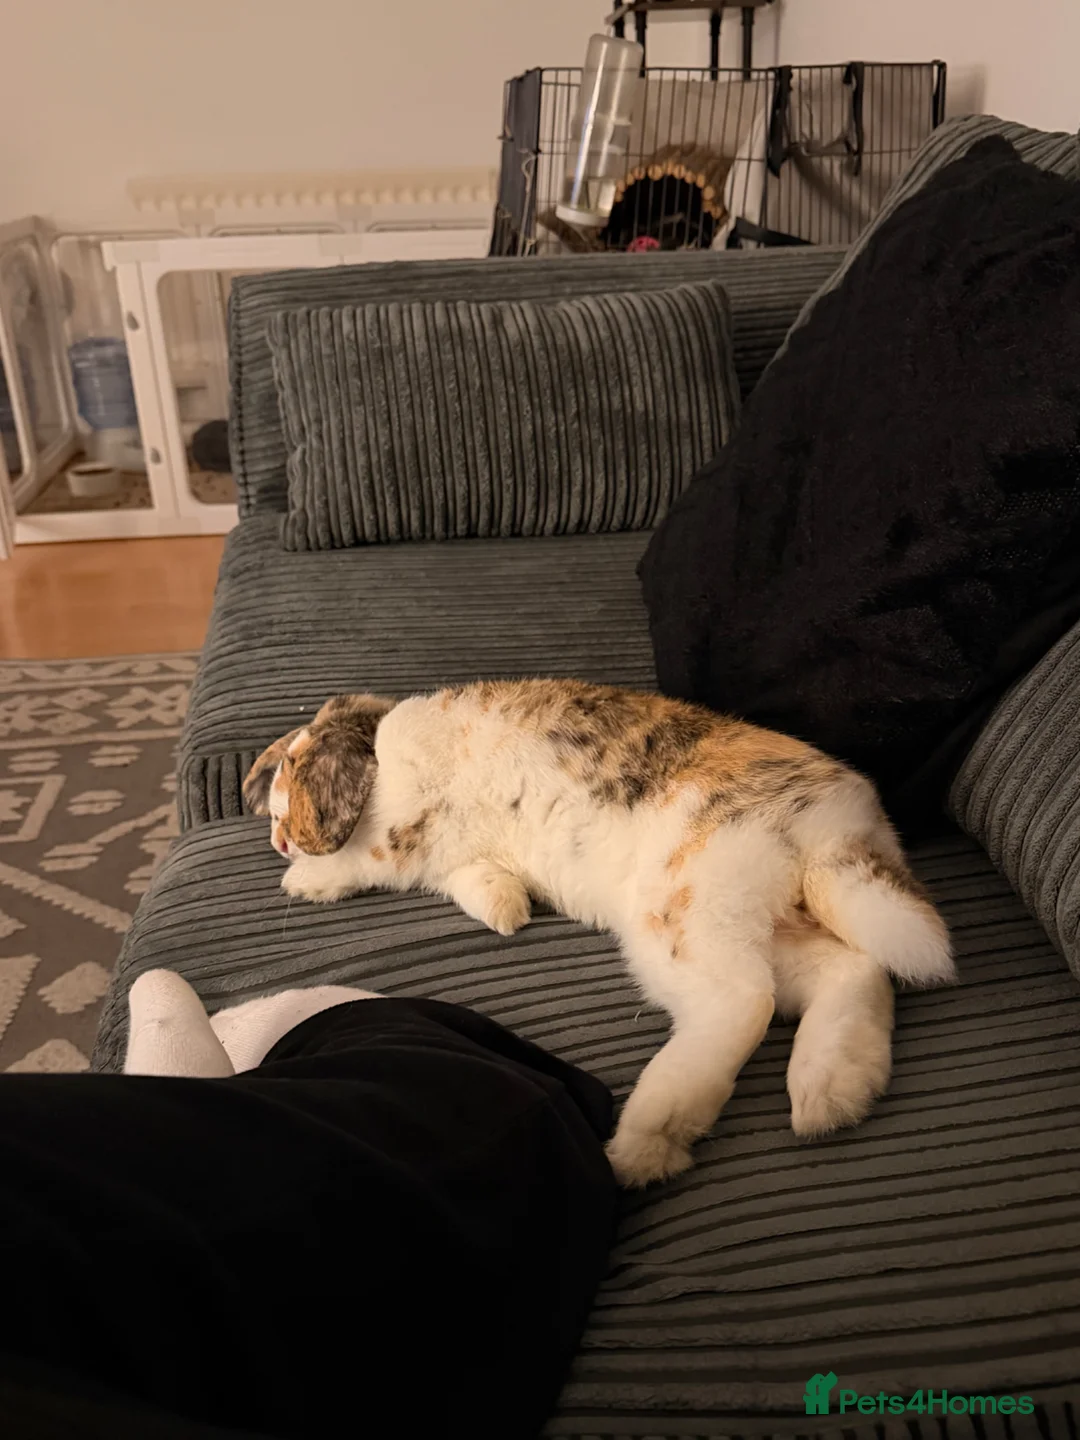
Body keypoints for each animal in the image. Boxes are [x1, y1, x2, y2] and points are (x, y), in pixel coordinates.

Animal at [243, 681, 954, 1187]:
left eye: (290, 767)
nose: (277, 840)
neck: (378, 756)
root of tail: (836, 830)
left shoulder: (400, 831)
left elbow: (367, 859)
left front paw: (307, 880)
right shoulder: (457, 857)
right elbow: (475, 879)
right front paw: (506, 911)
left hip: (681, 910)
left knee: (742, 1003)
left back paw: (649, 1139)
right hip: (760, 918)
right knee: (851, 970)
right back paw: (833, 1092)